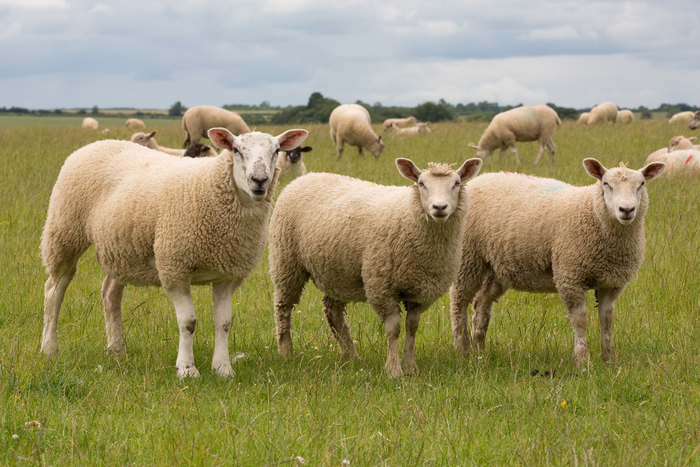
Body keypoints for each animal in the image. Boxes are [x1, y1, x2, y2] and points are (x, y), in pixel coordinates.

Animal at [40, 127, 309, 378]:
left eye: (276, 151)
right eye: (235, 150)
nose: (259, 180)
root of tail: (97, 144)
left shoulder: (228, 273)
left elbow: (223, 323)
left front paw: (223, 368)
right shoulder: (175, 267)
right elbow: (188, 322)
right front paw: (187, 369)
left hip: (123, 249)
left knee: (110, 294)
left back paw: (116, 348)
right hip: (64, 231)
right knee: (54, 290)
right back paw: (49, 349)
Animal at [269, 157, 483, 378]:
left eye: (457, 183)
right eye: (421, 183)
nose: (439, 207)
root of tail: (307, 176)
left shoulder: (421, 291)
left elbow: (412, 327)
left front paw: (410, 366)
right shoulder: (381, 286)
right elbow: (394, 329)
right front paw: (394, 370)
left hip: (337, 271)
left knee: (333, 312)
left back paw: (351, 356)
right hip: (286, 261)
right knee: (283, 307)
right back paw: (286, 351)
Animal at [449, 159, 665, 367]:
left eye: (642, 184)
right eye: (606, 184)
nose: (627, 210)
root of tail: (481, 178)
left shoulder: (611, 283)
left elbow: (607, 319)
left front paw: (609, 360)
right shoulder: (570, 276)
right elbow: (580, 319)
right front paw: (582, 360)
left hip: (498, 268)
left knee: (482, 303)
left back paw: (480, 349)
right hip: (467, 257)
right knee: (459, 301)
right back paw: (463, 348)